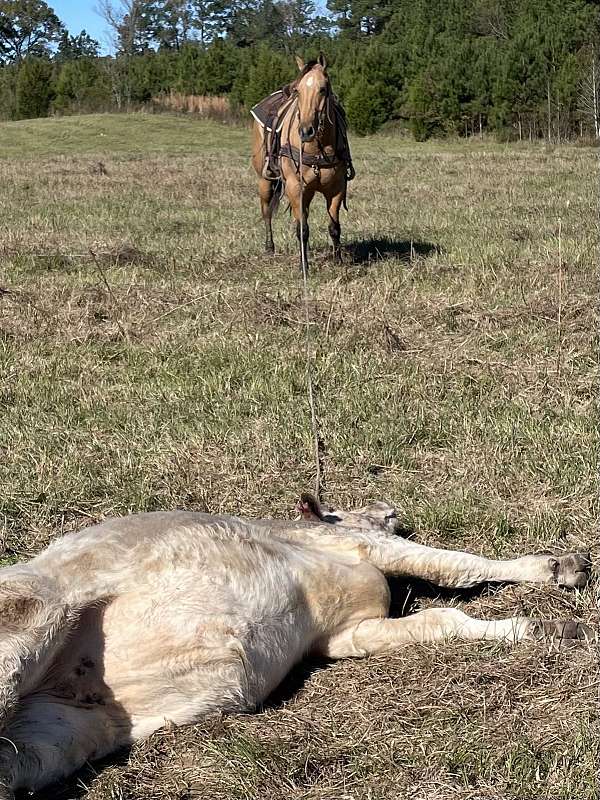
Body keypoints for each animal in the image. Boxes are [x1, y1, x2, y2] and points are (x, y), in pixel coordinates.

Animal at [0, 496, 592, 796]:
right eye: (346, 506)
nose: (392, 507)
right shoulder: (364, 544)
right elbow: (456, 566)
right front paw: (558, 574)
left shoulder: (344, 634)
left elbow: (438, 620)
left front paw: (542, 628)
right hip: (30, 618)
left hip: (65, 724)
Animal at [251, 54, 354, 272]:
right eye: (298, 91)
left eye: (323, 88)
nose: (306, 131)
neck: (317, 149)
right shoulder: (295, 187)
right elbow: (302, 228)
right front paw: (303, 265)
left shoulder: (337, 188)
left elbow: (334, 227)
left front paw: (338, 260)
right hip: (265, 181)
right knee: (266, 212)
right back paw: (269, 247)